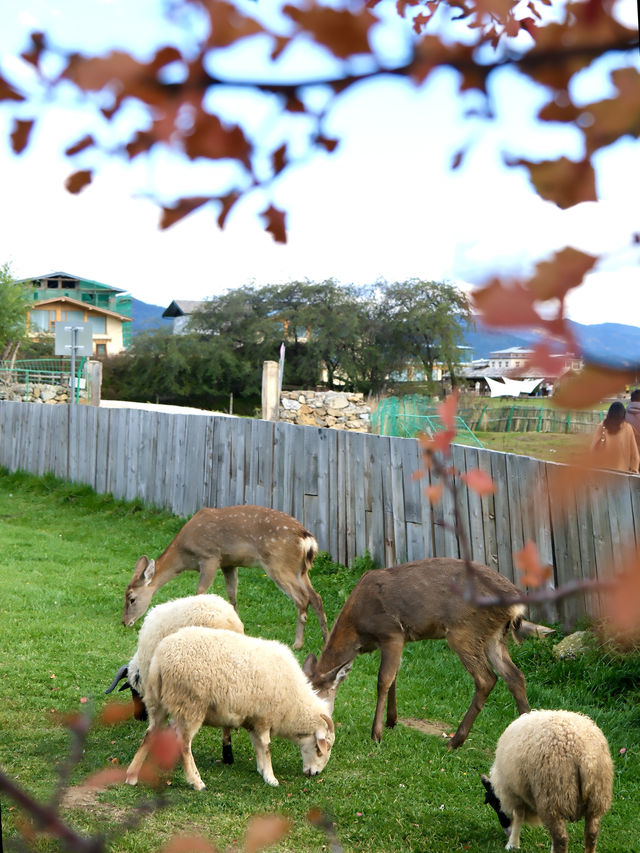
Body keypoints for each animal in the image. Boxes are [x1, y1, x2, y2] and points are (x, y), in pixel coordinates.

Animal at [122, 624, 338, 788]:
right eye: (320, 749)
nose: (314, 773)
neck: (294, 705)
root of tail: (160, 659)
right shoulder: (264, 717)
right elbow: (266, 746)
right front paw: (271, 778)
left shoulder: (253, 719)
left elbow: (258, 746)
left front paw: (262, 770)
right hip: (190, 705)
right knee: (183, 744)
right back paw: (196, 782)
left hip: (157, 702)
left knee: (150, 734)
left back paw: (132, 775)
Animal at [302, 560, 532, 744]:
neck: (358, 629)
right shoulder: (398, 640)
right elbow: (394, 676)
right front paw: (391, 720)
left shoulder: (391, 632)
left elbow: (383, 680)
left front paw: (376, 734)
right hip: (494, 636)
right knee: (515, 676)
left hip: (464, 632)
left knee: (486, 678)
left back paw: (455, 741)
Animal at [482, 708, 612, 852]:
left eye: (494, 804)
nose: (506, 832)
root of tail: (585, 756)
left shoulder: (515, 792)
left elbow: (519, 816)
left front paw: (512, 844)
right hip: (597, 798)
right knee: (591, 834)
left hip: (551, 797)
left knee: (561, 839)